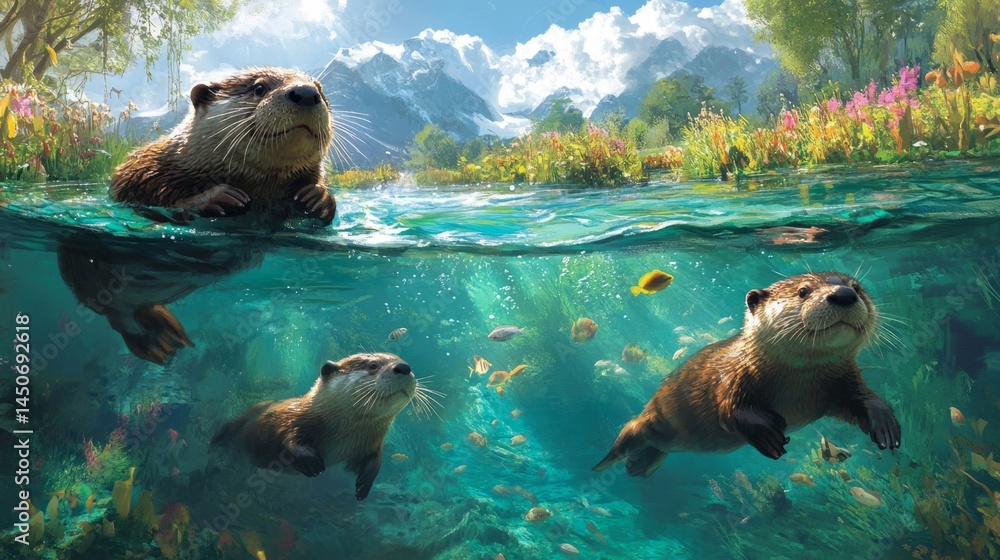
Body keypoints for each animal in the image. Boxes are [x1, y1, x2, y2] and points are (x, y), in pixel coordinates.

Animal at [110, 67, 336, 225]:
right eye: (259, 88)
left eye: (320, 90)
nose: (306, 93)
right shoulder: (139, 171)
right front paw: (215, 198)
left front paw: (320, 197)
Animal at [211, 352, 417, 500]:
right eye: (373, 365)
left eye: (403, 361)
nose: (404, 367)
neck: (344, 434)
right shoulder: (290, 419)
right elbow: (286, 436)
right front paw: (311, 462)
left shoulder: (371, 443)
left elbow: (375, 460)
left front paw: (364, 484)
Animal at [593, 272, 900, 477]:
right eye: (803, 291)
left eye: (857, 287)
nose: (844, 294)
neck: (797, 383)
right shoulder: (732, 378)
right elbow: (729, 409)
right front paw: (769, 434)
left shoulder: (843, 381)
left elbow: (863, 400)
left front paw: (886, 425)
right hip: (650, 420)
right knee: (629, 430)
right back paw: (602, 464)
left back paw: (639, 465)